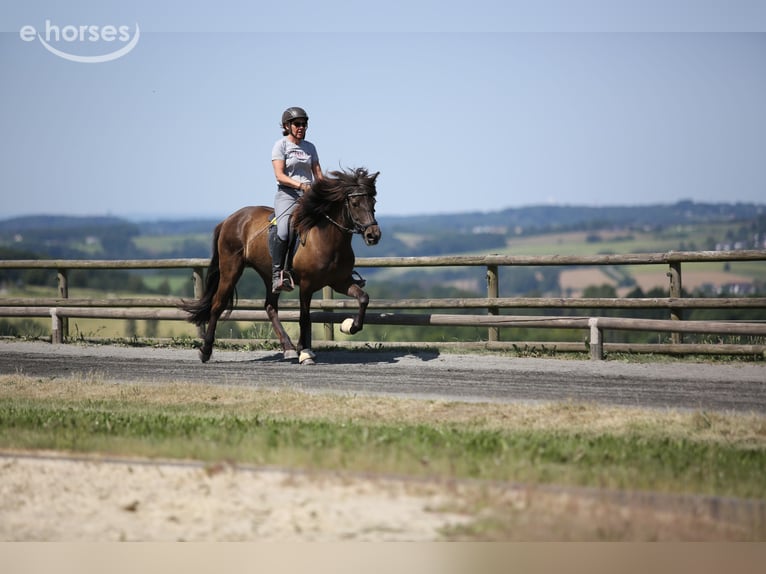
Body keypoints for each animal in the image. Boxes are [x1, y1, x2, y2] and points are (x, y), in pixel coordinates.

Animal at [178, 167, 381, 365]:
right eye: (355, 203)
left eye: (373, 201)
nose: (373, 235)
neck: (327, 239)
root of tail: (229, 219)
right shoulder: (307, 285)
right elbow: (304, 318)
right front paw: (305, 353)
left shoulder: (340, 281)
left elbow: (363, 298)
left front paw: (350, 327)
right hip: (231, 269)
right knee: (217, 304)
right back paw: (205, 351)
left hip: (269, 275)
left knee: (270, 307)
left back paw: (288, 348)